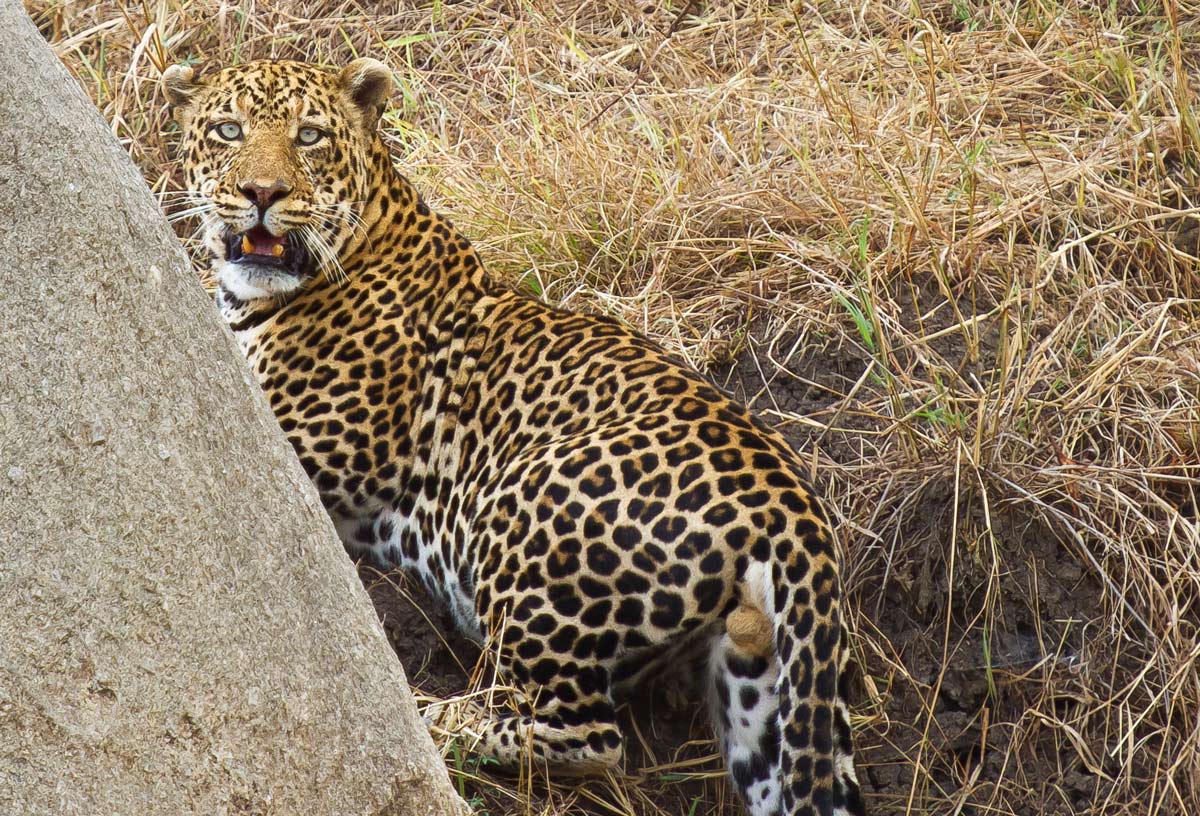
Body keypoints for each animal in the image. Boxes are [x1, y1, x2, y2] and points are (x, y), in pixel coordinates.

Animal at [161, 57, 865, 816]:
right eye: (228, 131)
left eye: (310, 136)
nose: (263, 192)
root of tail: (792, 506)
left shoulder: (297, 454)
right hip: (762, 689)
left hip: (522, 514)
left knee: (585, 734)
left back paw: (432, 722)